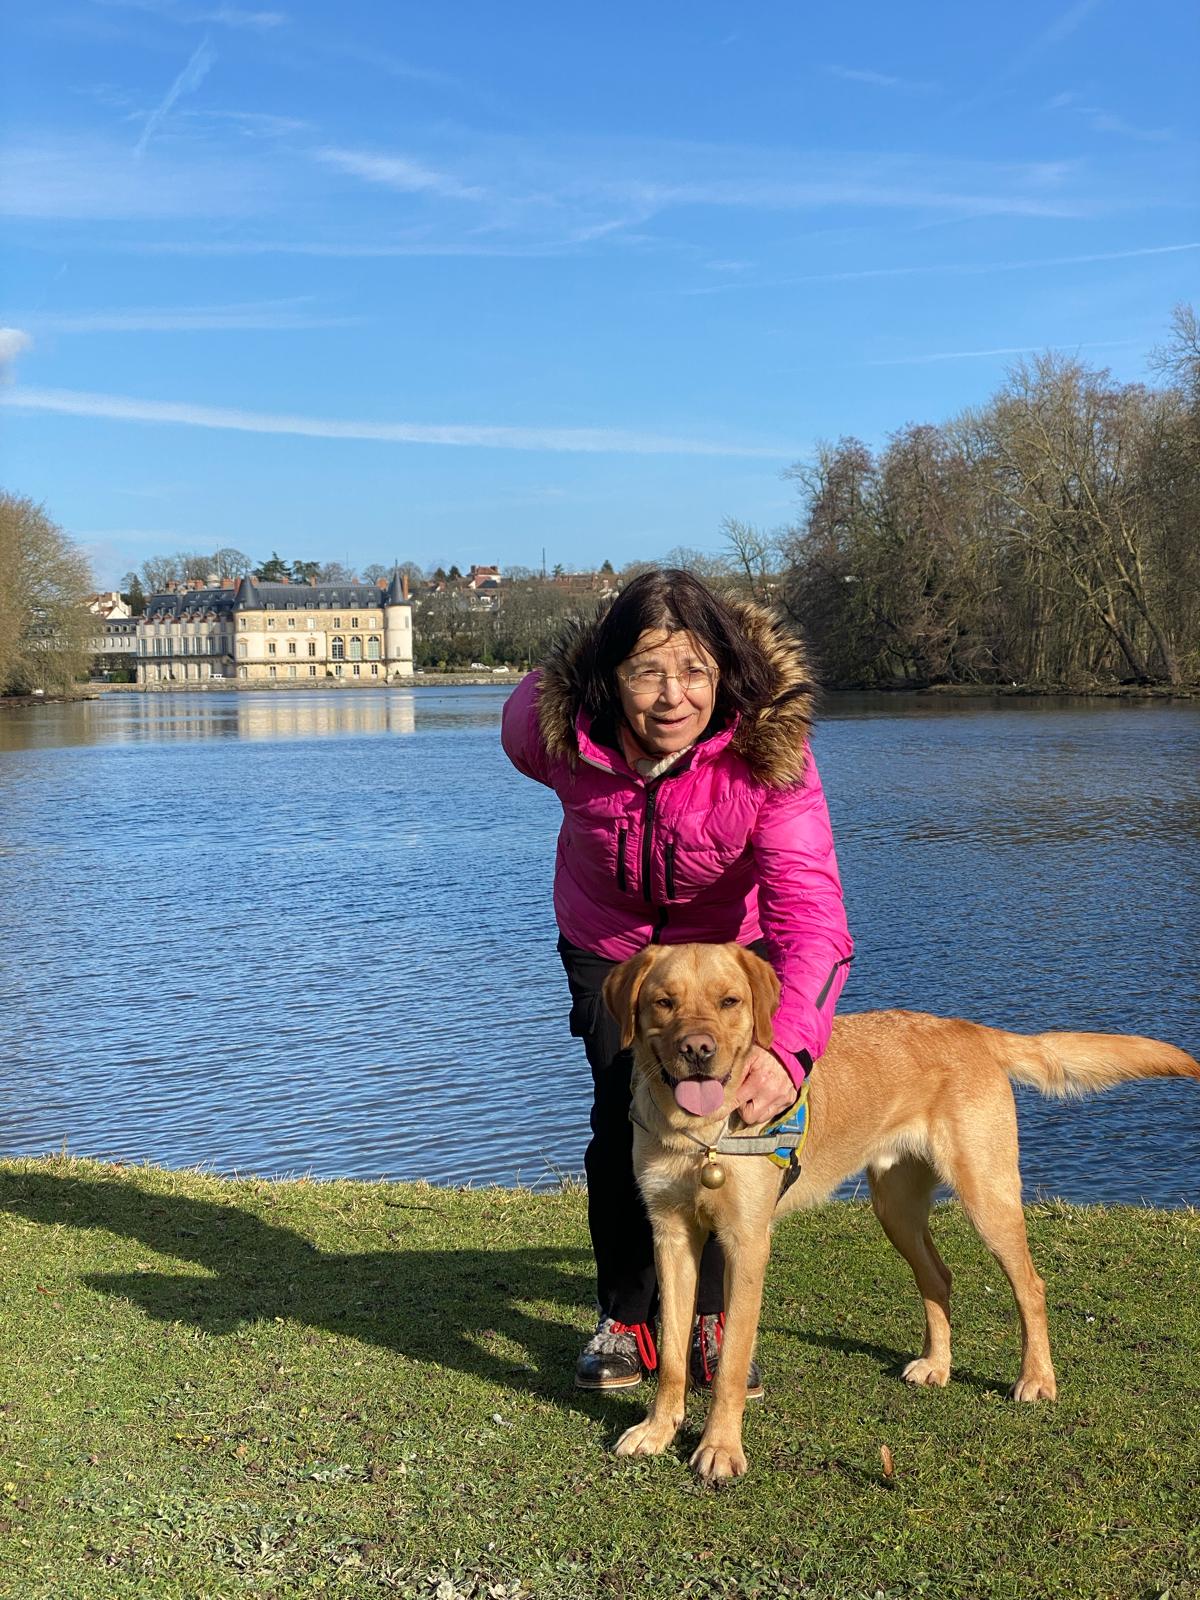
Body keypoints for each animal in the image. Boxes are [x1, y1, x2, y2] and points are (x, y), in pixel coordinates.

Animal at [604, 940, 1196, 1478]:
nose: (698, 1049)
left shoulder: (746, 1242)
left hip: (988, 1197)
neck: (699, 1136)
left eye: (729, 1001)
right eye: (664, 1002)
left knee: (1030, 1285)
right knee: (939, 1277)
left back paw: (1037, 1378)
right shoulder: (671, 1235)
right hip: (897, 1209)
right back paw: (938, 1365)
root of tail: (969, 1030)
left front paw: (720, 1449)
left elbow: (729, 1366)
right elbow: (673, 1356)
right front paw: (658, 1430)